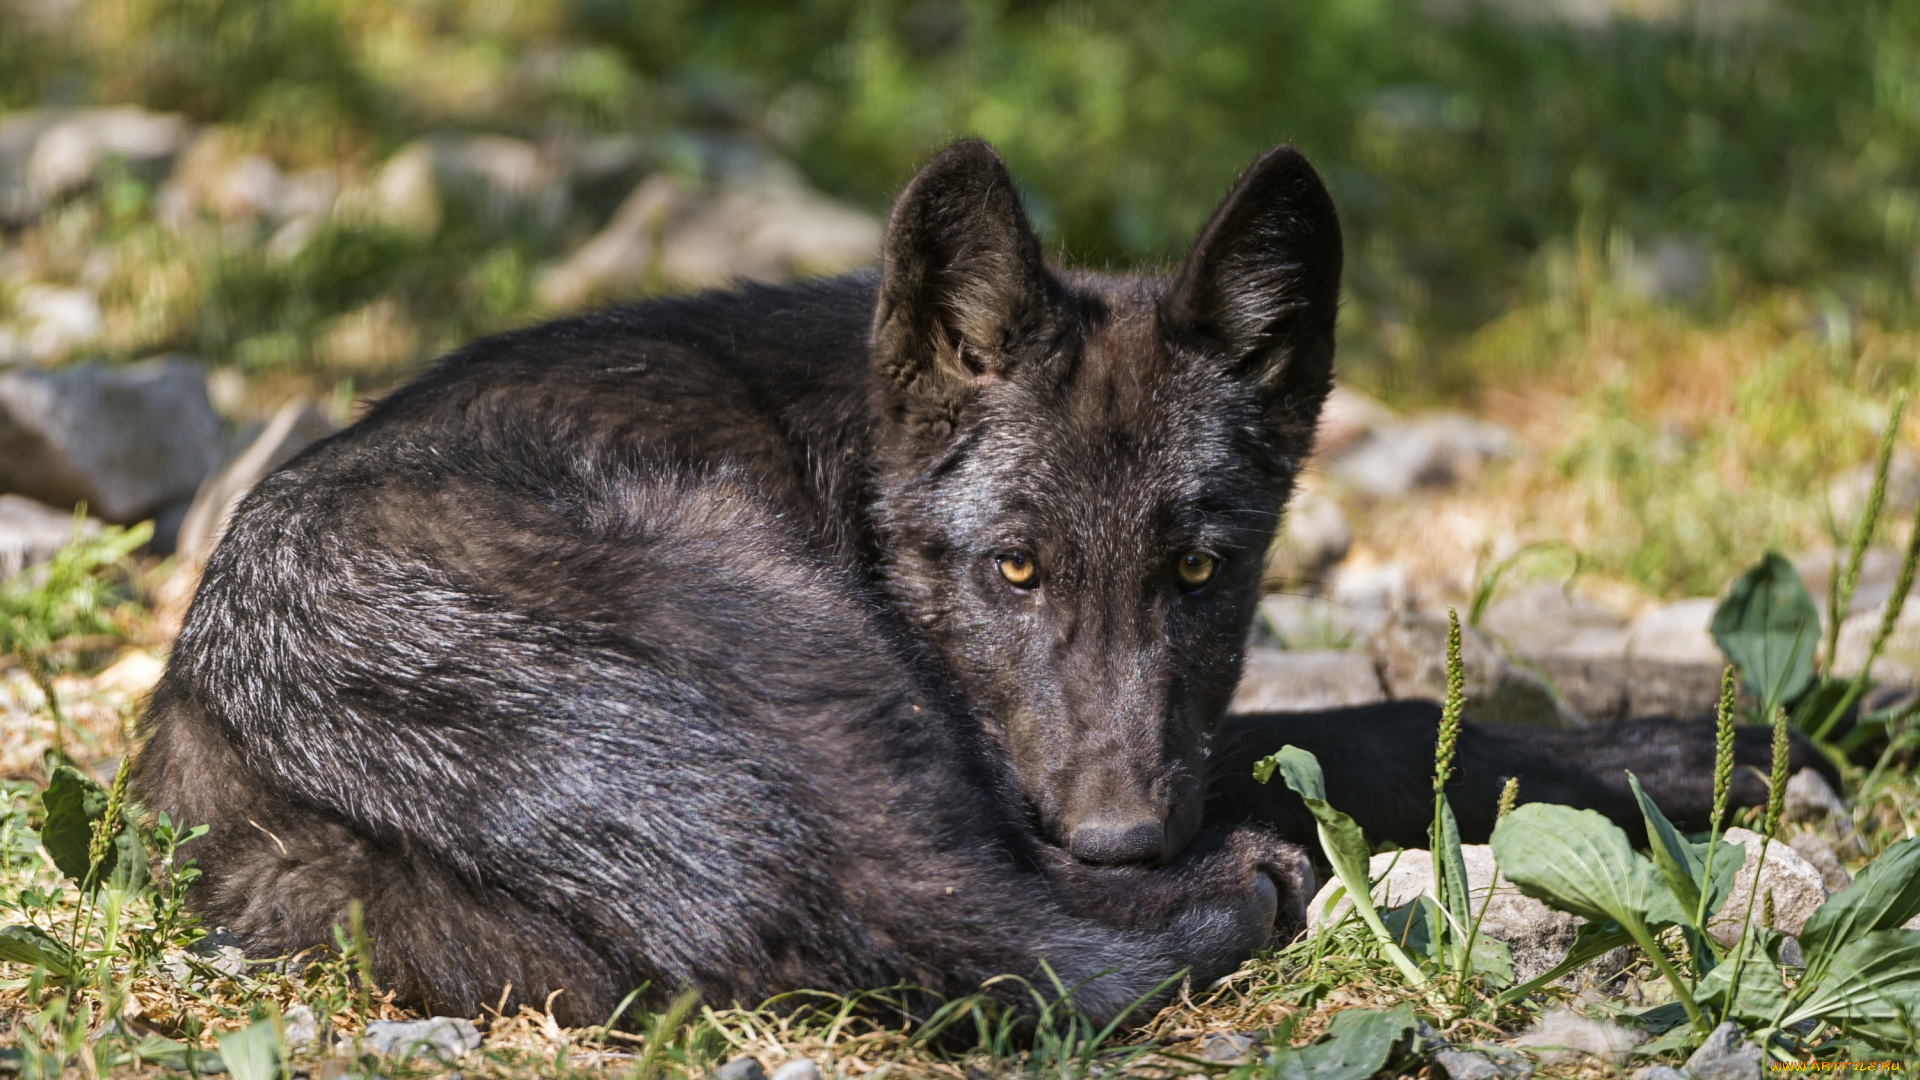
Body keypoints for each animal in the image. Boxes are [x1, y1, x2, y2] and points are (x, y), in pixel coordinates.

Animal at [135, 138, 1812, 1022]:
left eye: (1200, 568)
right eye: (1013, 568)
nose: (1128, 839)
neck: (845, 448)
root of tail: (262, 726)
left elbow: (1351, 725)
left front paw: (1731, 731)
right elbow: (1345, 737)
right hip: (825, 666)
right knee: (969, 924)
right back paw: (1236, 889)